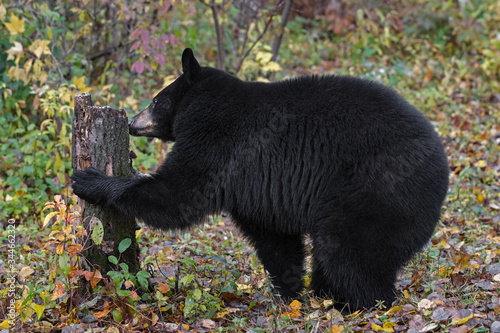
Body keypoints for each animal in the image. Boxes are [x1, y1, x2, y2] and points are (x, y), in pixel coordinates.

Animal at [71, 47, 450, 312]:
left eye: (155, 99)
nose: (132, 122)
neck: (204, 105)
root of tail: (441, 168)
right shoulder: (259, 189)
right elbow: (274, 238)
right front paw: (289, 295)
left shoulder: (222, 143)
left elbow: (180, 193)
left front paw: (89, 180)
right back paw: (326, 296)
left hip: (374, 191)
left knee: (349, 255)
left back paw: (360, 306)